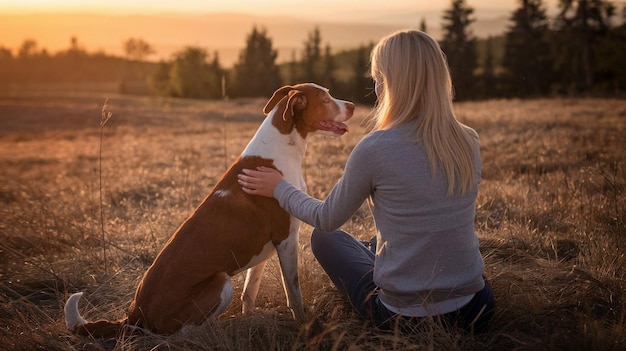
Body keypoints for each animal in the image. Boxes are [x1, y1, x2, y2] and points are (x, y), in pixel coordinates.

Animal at [66, 83, 356, 338]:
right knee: (181, 335)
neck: (280, 148)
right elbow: (293, 291)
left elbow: (250, 290)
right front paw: (303, 324)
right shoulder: (286, 239)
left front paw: (251, 320)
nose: (353, 105)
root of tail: (134, 316)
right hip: (220, 283)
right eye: (326, 99)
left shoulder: (267, 248)